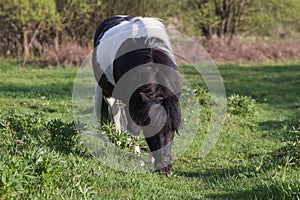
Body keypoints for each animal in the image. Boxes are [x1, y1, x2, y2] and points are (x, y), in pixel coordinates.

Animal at [91, 15, 180, 173]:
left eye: (173, 130)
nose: (165, 169)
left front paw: (150, 158)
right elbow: (134, 129)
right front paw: (139, 160)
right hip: (110, 94)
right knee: (115, 114)